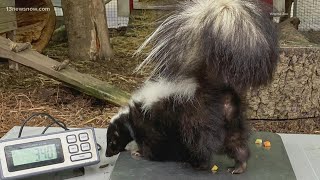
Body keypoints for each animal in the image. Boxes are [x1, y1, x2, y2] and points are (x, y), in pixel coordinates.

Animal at [105, 0, 278, 174]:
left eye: (112, 140)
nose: (107, 153)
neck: (130, 115)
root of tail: (210, 85)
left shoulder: (151, 124)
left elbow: (154, 144)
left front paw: (140, 153)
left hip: (196, 121)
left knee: (200, 144)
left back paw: (198, 164)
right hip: (232, 119)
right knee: (236, 142)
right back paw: (239, 166)